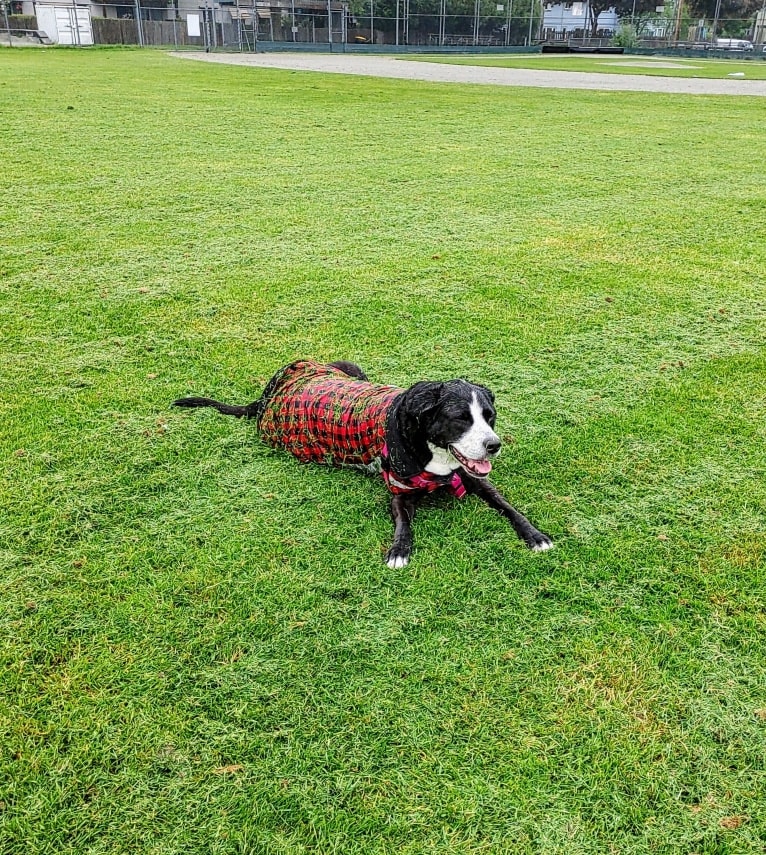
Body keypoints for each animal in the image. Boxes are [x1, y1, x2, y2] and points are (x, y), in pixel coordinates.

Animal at [176, 360, 552, 568]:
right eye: (460, 419)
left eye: (489, 416)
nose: (494, 445)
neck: (431, 450)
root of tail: (270, 393)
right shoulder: (399, 493)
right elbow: (404, 524)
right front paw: (399, 550)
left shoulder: (474, 476)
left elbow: (508, 507)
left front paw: (535, 535)